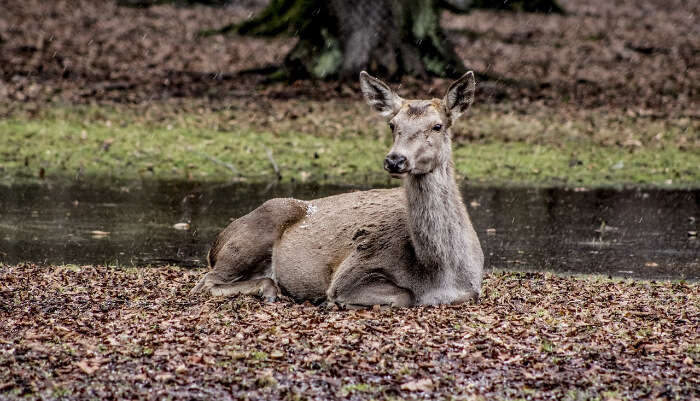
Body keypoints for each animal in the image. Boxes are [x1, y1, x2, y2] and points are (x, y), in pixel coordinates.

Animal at [189, 70, 484, 306]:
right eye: (392, 125)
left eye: (437, 126)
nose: (395, 159)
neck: (439, 272)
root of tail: (215, 245)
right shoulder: (353, 271)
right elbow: (405, 295)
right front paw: (332, 302)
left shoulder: (472, 289)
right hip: (254, 232)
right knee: (205, 282)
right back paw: (270, 289)